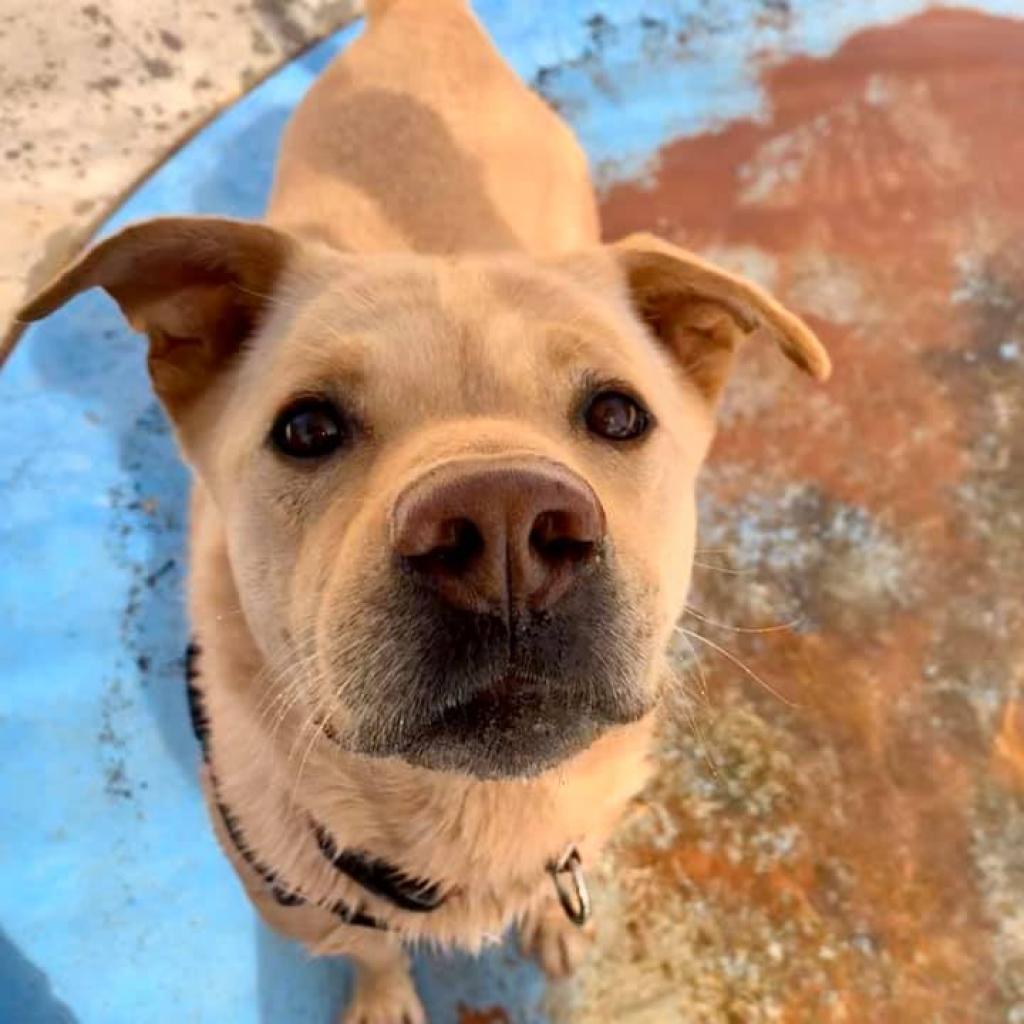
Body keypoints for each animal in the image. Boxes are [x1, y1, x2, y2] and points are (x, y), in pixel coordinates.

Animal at [18, 2, 831, 1024]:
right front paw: (384, 996)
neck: (474, 820)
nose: (505, 527)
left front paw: (555, 925)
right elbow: (368, 947)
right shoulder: (299, 894)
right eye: (307, 427)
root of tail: (423, 20)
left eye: (618, 414)